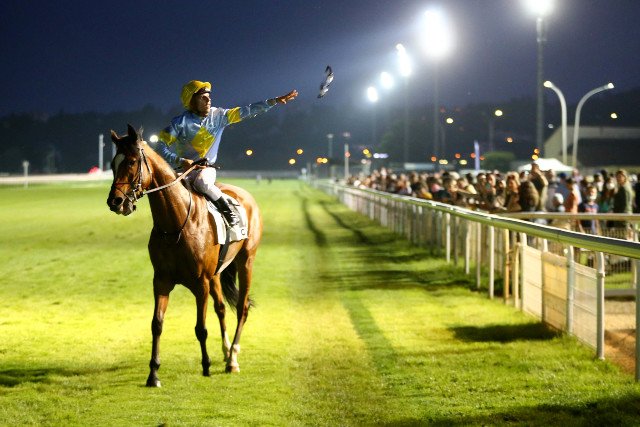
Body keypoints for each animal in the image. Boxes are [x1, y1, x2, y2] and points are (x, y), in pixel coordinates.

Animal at [106, 124, 262, 387]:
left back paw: (232, 358)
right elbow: (156, 324)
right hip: (217, 273)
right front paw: (153, 374)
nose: (115, 201)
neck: (176, 224)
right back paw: (226, 350)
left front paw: (206, 366)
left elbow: (201, 328)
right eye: (112, 163)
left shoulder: (200, 283)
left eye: (132, 161)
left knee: (242, 308)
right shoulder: (161, 280)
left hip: (246, 261)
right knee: (221, 307)